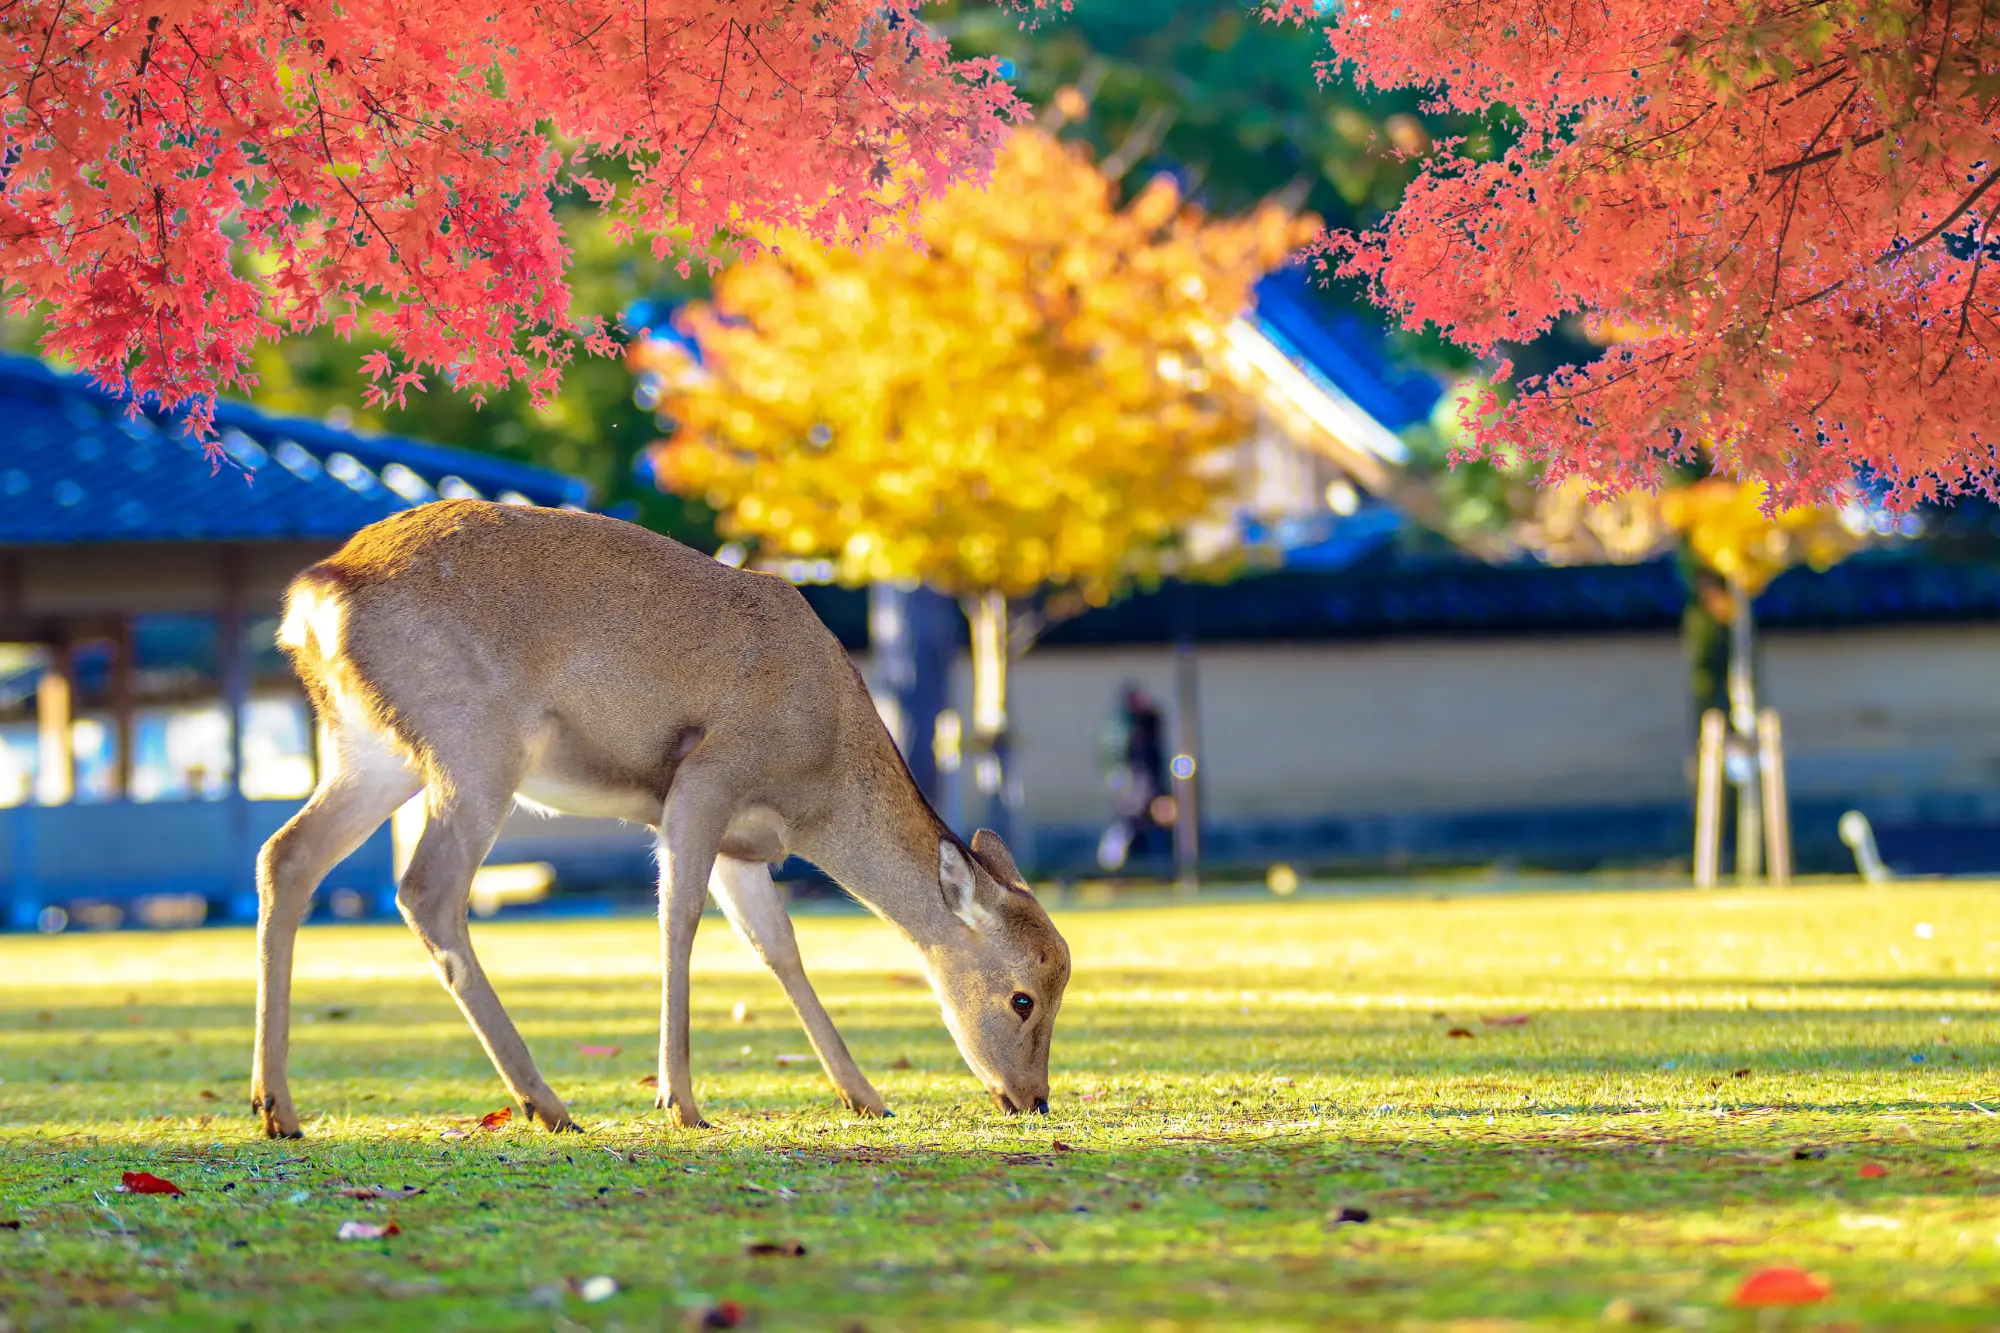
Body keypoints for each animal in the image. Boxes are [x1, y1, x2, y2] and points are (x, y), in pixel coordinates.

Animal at [253, 499, 1070, 1138]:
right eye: (1022, 997)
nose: (1033, 1100)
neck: (818, 784)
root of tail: (315, 594)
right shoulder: (706, 776)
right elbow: (678, 917)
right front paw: (680, 1102)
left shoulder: (747, 847)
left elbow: (779, 948)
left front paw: (866, 1096)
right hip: (475, 745)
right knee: (427, 889)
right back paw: (547, 1104)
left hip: (372, 750)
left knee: (284, 855)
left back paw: (277, 1108)